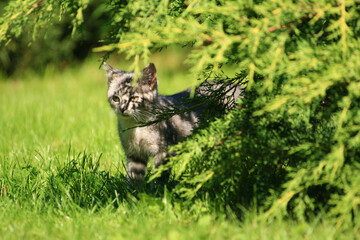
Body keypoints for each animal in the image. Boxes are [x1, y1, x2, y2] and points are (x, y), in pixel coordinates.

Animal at [104, 62, 245, 181]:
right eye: (116, 98)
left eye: (134, 98)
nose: (122, 108)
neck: (136, 128)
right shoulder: (134, 155)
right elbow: (134, 178)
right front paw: (132, 195)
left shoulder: (164, 151)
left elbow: (160, 176)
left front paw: (158, 192)